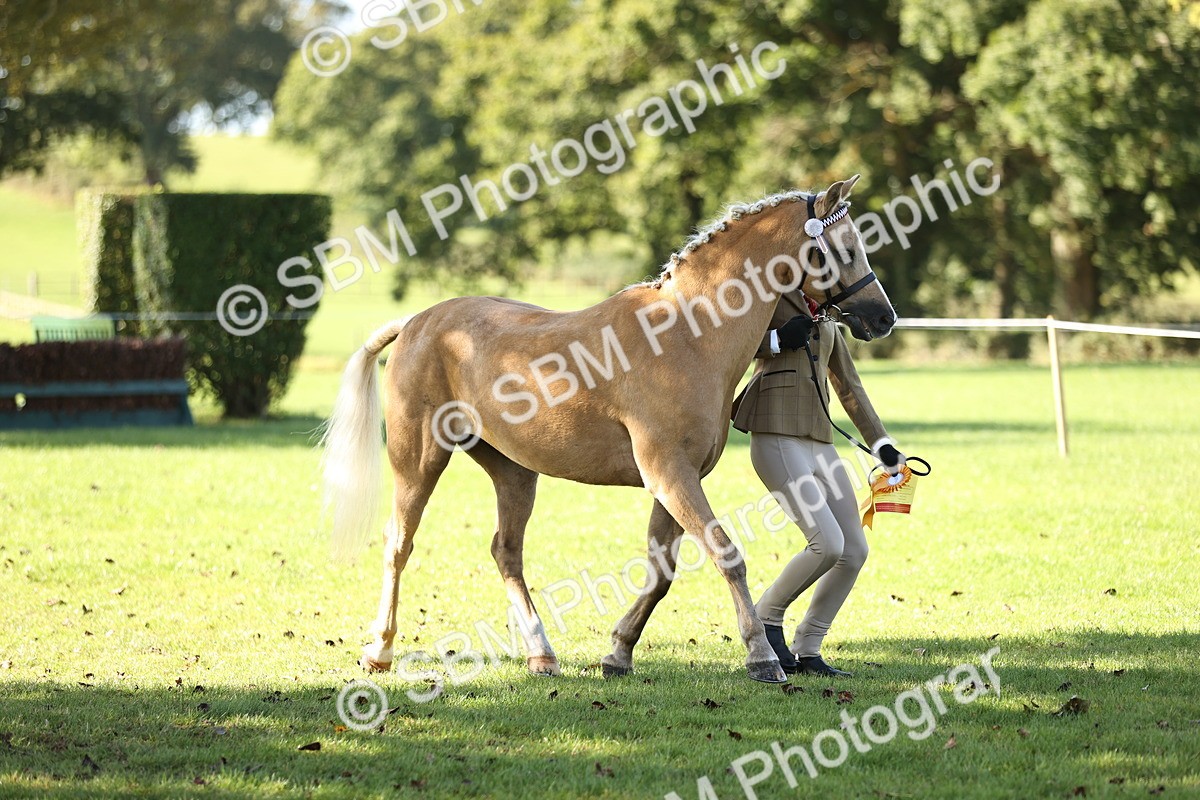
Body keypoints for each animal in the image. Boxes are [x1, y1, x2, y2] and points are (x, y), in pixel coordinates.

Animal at [321, 174, 896, 684]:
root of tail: (416, 323)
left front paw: (618, 653)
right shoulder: (669, 473)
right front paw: (762, 658)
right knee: (399, 544)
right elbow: (727, 555)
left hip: (513, 471)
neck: (687, 333)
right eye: (845, 249)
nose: (883, 318)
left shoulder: (676, 479)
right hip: (418, 461)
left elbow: (661, 573)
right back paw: (379, 651)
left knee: (506, 551)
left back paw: (542, 655)